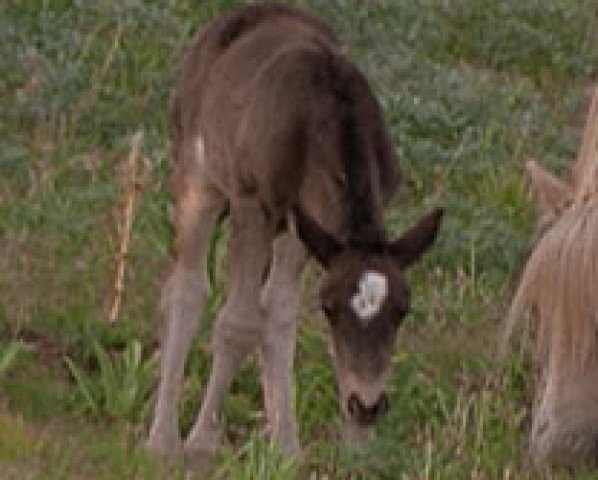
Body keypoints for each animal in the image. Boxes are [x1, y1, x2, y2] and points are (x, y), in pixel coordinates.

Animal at [147, 2, 442, 462]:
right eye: (330, 309)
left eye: (402, 310)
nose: (367, 406)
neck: (324, 117)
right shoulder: (252, 204)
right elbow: (238, 322)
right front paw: (201, 442)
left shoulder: (310, 228)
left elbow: (279, 317)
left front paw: (301, 450)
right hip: (199, 179)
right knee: (187, 289)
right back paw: (162, 438)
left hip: (288, 230)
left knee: (273, 307)